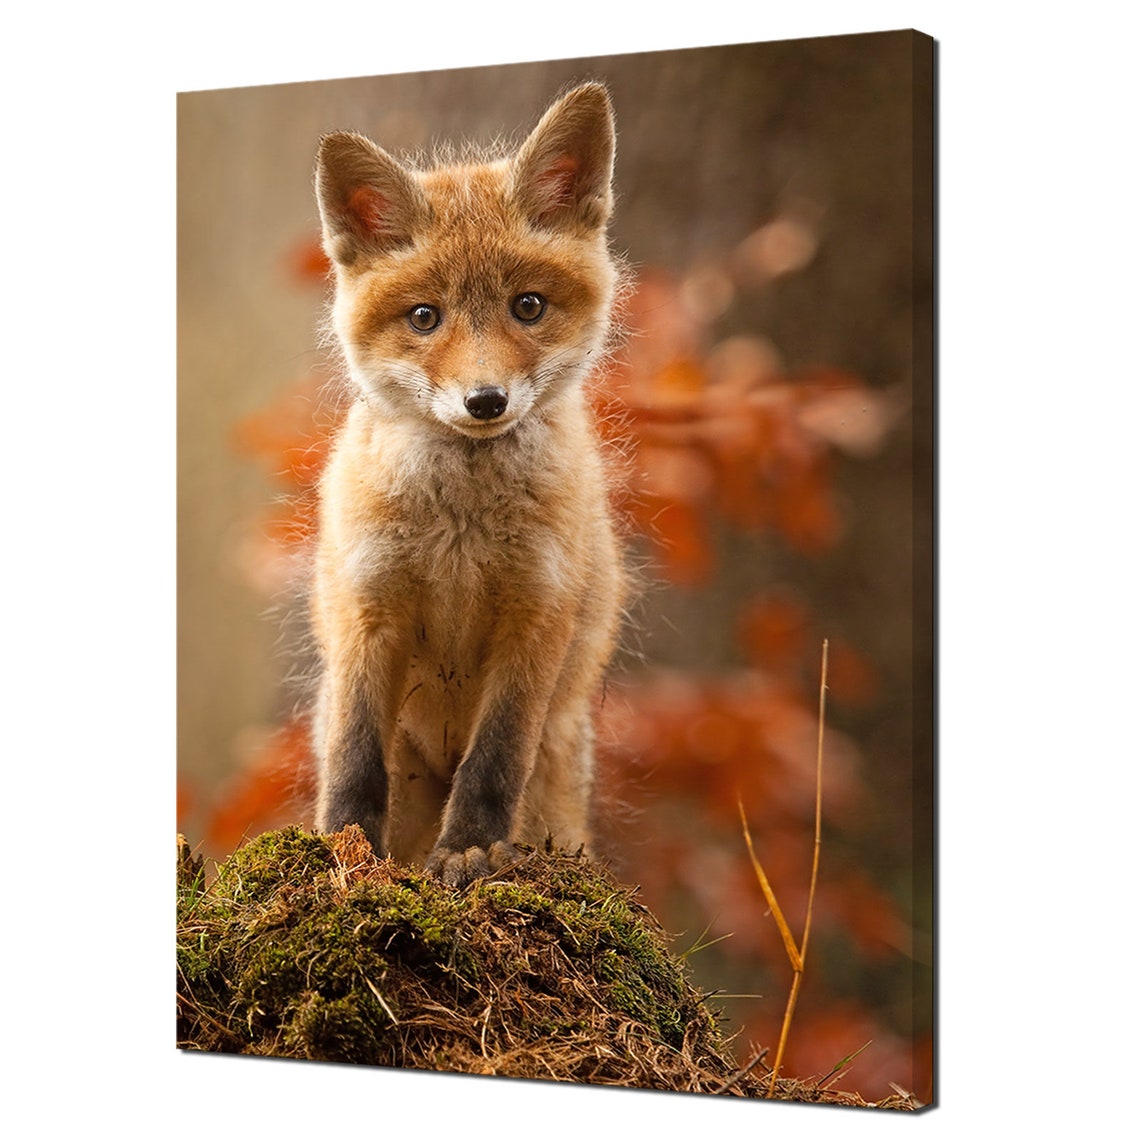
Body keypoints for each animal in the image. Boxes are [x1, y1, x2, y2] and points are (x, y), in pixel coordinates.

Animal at [309, 83, 627, 887]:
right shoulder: (367, 608)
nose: (485, 402)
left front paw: (470, 850)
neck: (460, 528)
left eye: (528, 306)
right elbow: (354, 757)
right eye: (425, 317)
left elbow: (494, 760)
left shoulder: (539, 615)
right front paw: (343, 850)